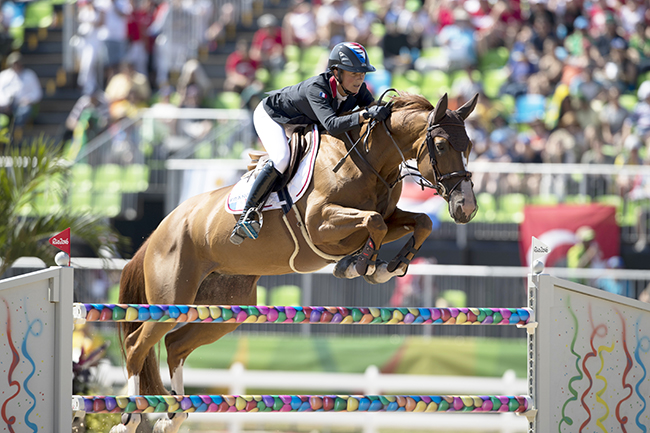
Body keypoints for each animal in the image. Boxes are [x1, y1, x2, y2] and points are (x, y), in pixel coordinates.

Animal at [110, 93, 476, 430]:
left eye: (469, 145)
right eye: (441, 144)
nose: (467, 208)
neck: (370, 161)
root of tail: (161, 229)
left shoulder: (387, 215)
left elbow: (417, 222)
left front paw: (388, 267)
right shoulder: (321, 223)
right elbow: (375, 222)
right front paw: (358, 265)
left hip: (222, 308)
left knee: (175, 345)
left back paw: (173, 417)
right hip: (172, 297)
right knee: (136, 345)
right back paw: (129, 417)